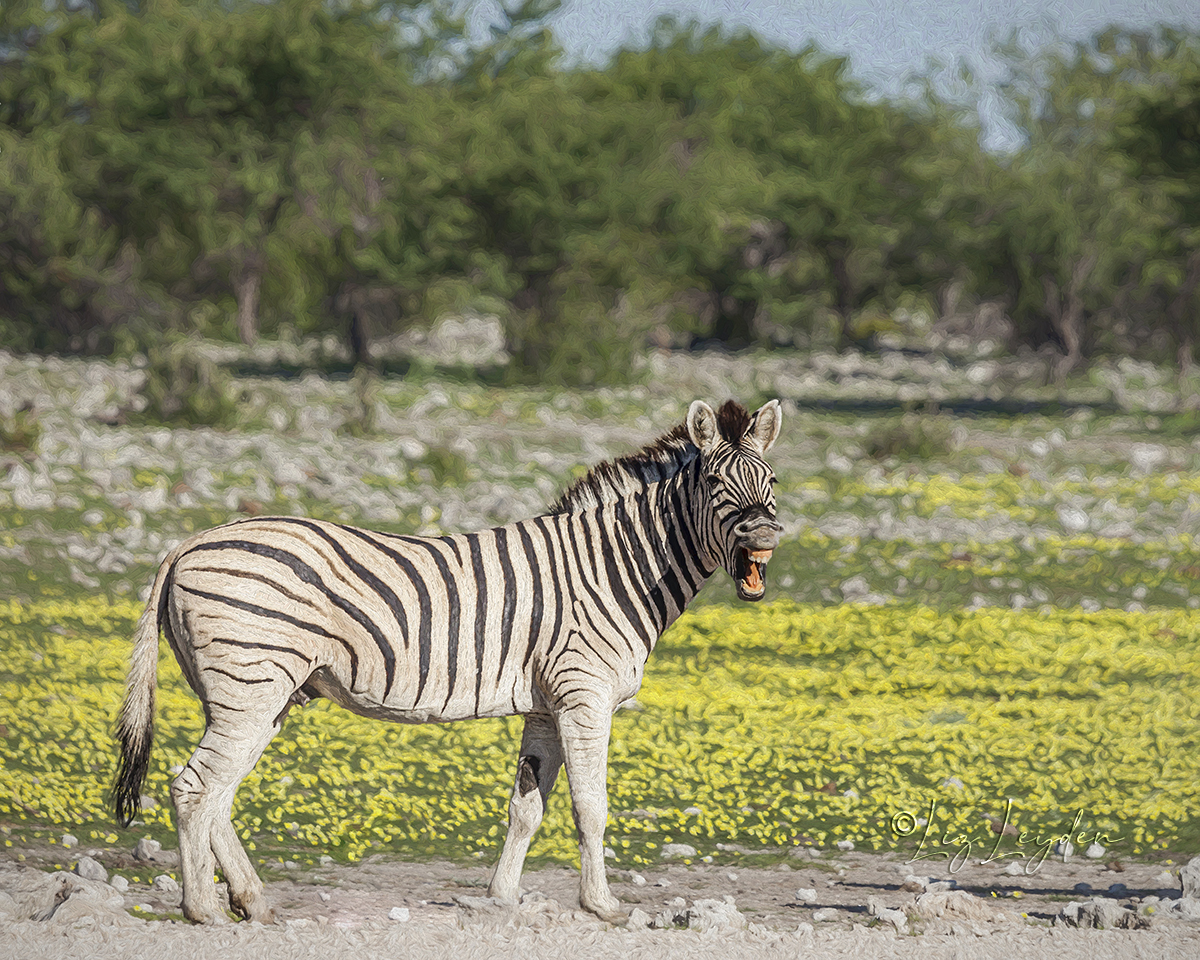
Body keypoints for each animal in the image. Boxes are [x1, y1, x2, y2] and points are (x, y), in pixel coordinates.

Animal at [112, 398, 782, 921]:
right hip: (250, 684)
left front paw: (503, 898)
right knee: (194, 788)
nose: (765, 537)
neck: (616, 567)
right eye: (718, 488)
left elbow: (526, 808)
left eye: (771, 484)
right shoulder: (584, 695)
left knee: (217, 795)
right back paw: (202, 909)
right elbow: (589, 807)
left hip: (257, 692)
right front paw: (603, 905)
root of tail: (185, 544)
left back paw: (252, 902)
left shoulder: (546, 704)